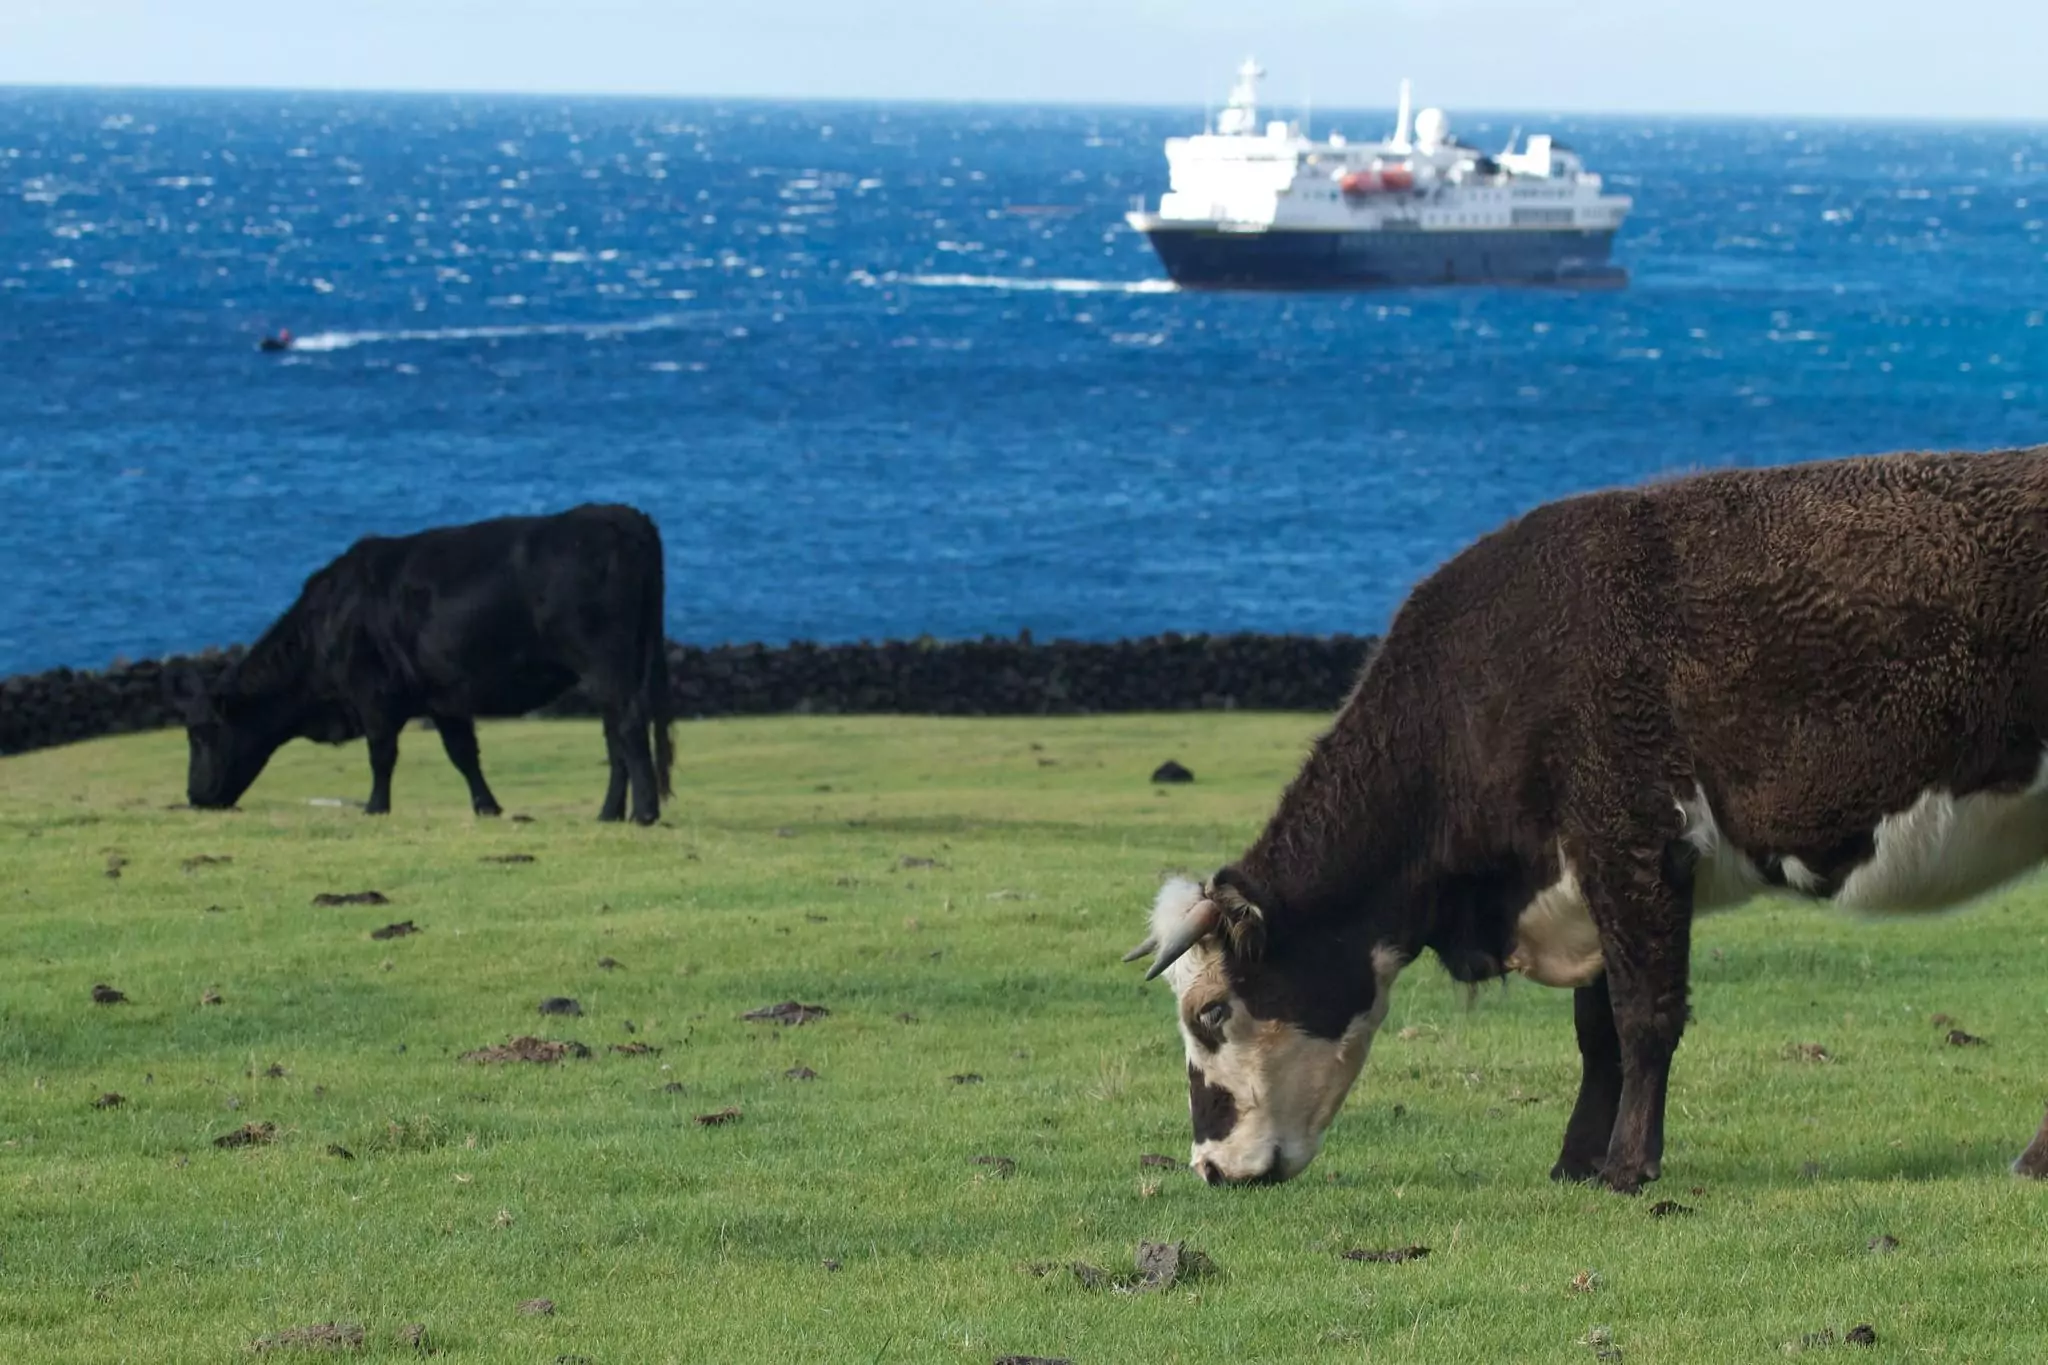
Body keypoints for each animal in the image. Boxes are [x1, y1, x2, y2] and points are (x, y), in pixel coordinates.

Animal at [167, 504, 674, 824]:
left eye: (202, 733)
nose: (194, 796)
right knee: (615, 735)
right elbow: (463, 753)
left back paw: (644, 813)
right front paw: (487, 807)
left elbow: (381, 754)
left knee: (628, 727)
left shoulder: (372, 694)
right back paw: (610, 813)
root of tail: (620, 516)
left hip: (605, 665)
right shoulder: (443, 697)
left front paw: (375, 808)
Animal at [1124, 446, 2048, 1194]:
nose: (1209, 1166)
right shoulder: (1589, 868)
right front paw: (1576, 1159)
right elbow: (1596, 1030)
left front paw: (1630, 1166)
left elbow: (1644, 1014)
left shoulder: (1632, 839)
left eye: (1211, 1011)